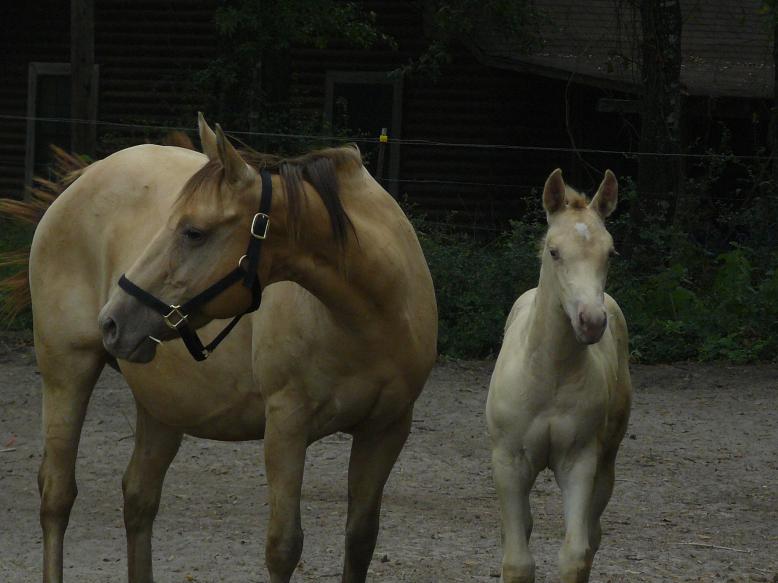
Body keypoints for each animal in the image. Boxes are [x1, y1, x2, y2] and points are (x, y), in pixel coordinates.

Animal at [30, 115, 436, 583]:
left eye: (193, 232)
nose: (112, 321)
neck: (369, 316)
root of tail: (83, 179)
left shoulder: (386, 429)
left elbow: (361, 539)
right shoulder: (286, 427)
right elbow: (284, 547)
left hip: (162, 404)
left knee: (139, 498)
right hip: (67, 371)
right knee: (57, 495)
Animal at [484, 170, 632, 583]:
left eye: (610, 253)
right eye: (554, 251)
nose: (591, 321)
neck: (549, 376)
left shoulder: (579, 461)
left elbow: (575, 554)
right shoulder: (509, 461)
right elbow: (517, 560)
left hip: (608, 460)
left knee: (593, 534)